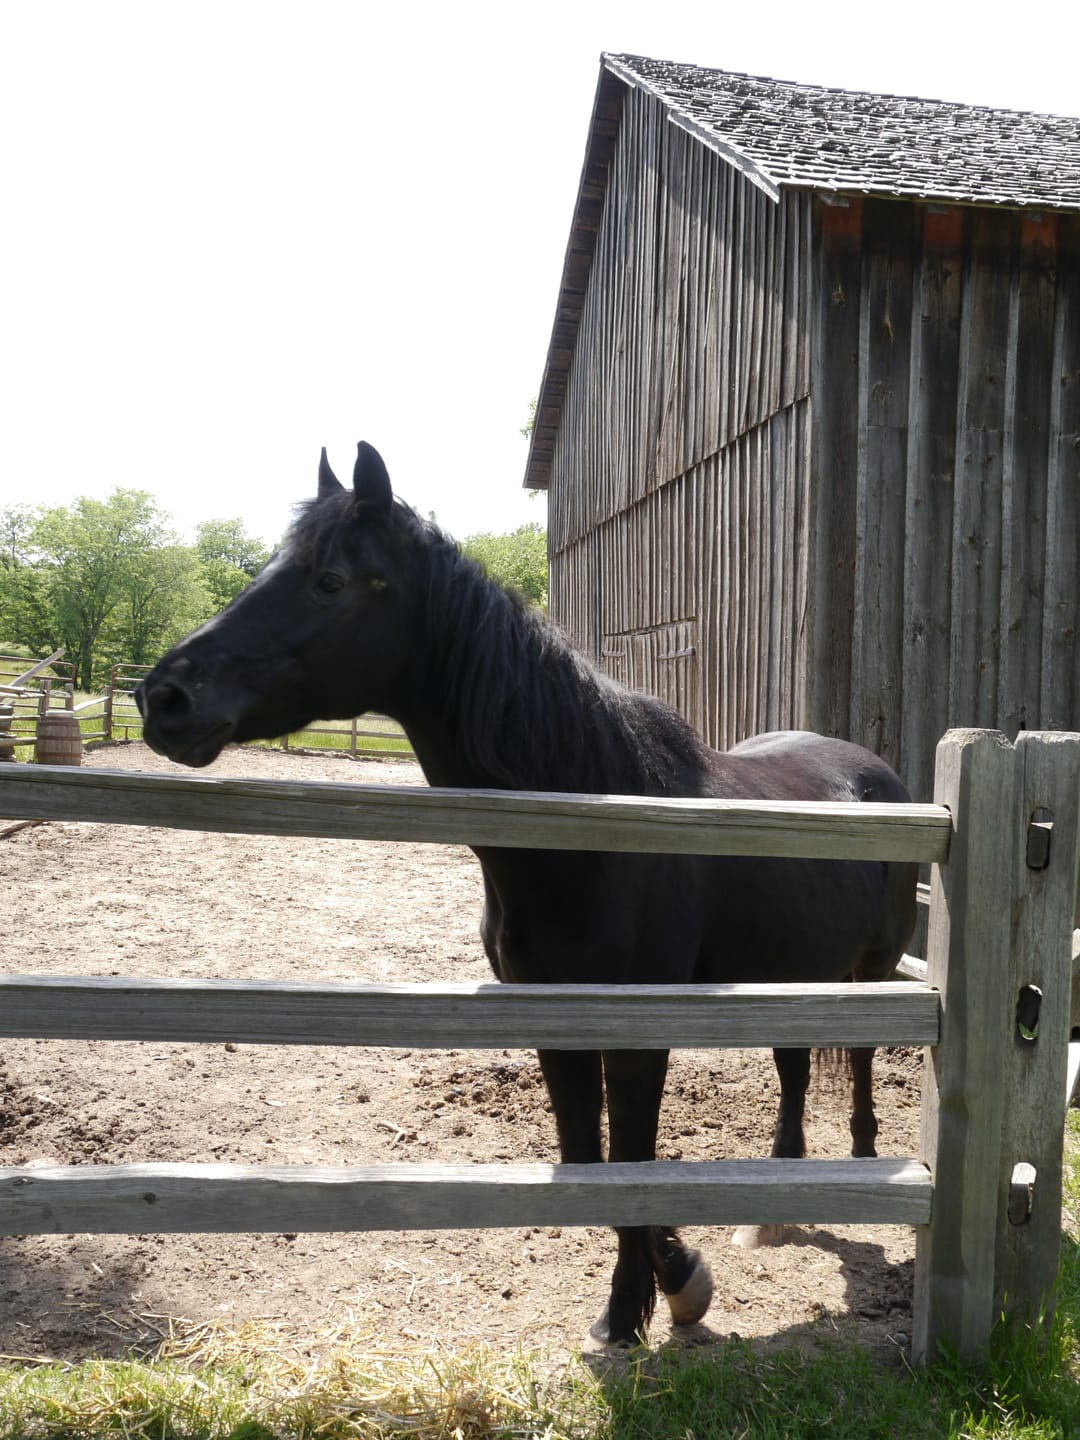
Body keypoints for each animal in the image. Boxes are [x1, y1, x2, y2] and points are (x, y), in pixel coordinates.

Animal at [136, 441, 918, 1346]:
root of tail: (874, 772)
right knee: (794, 1070)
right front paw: (663, 1287)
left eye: (329, 580)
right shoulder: (553, 1021)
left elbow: (631, 1159)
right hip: (788, 972)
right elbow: (589, 1160)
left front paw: (648, 1304)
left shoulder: (639, 1032)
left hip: (867, 970)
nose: (164, 697)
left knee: (855, 1061)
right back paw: (772, 1210)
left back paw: (858, 1165)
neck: (592, 824)